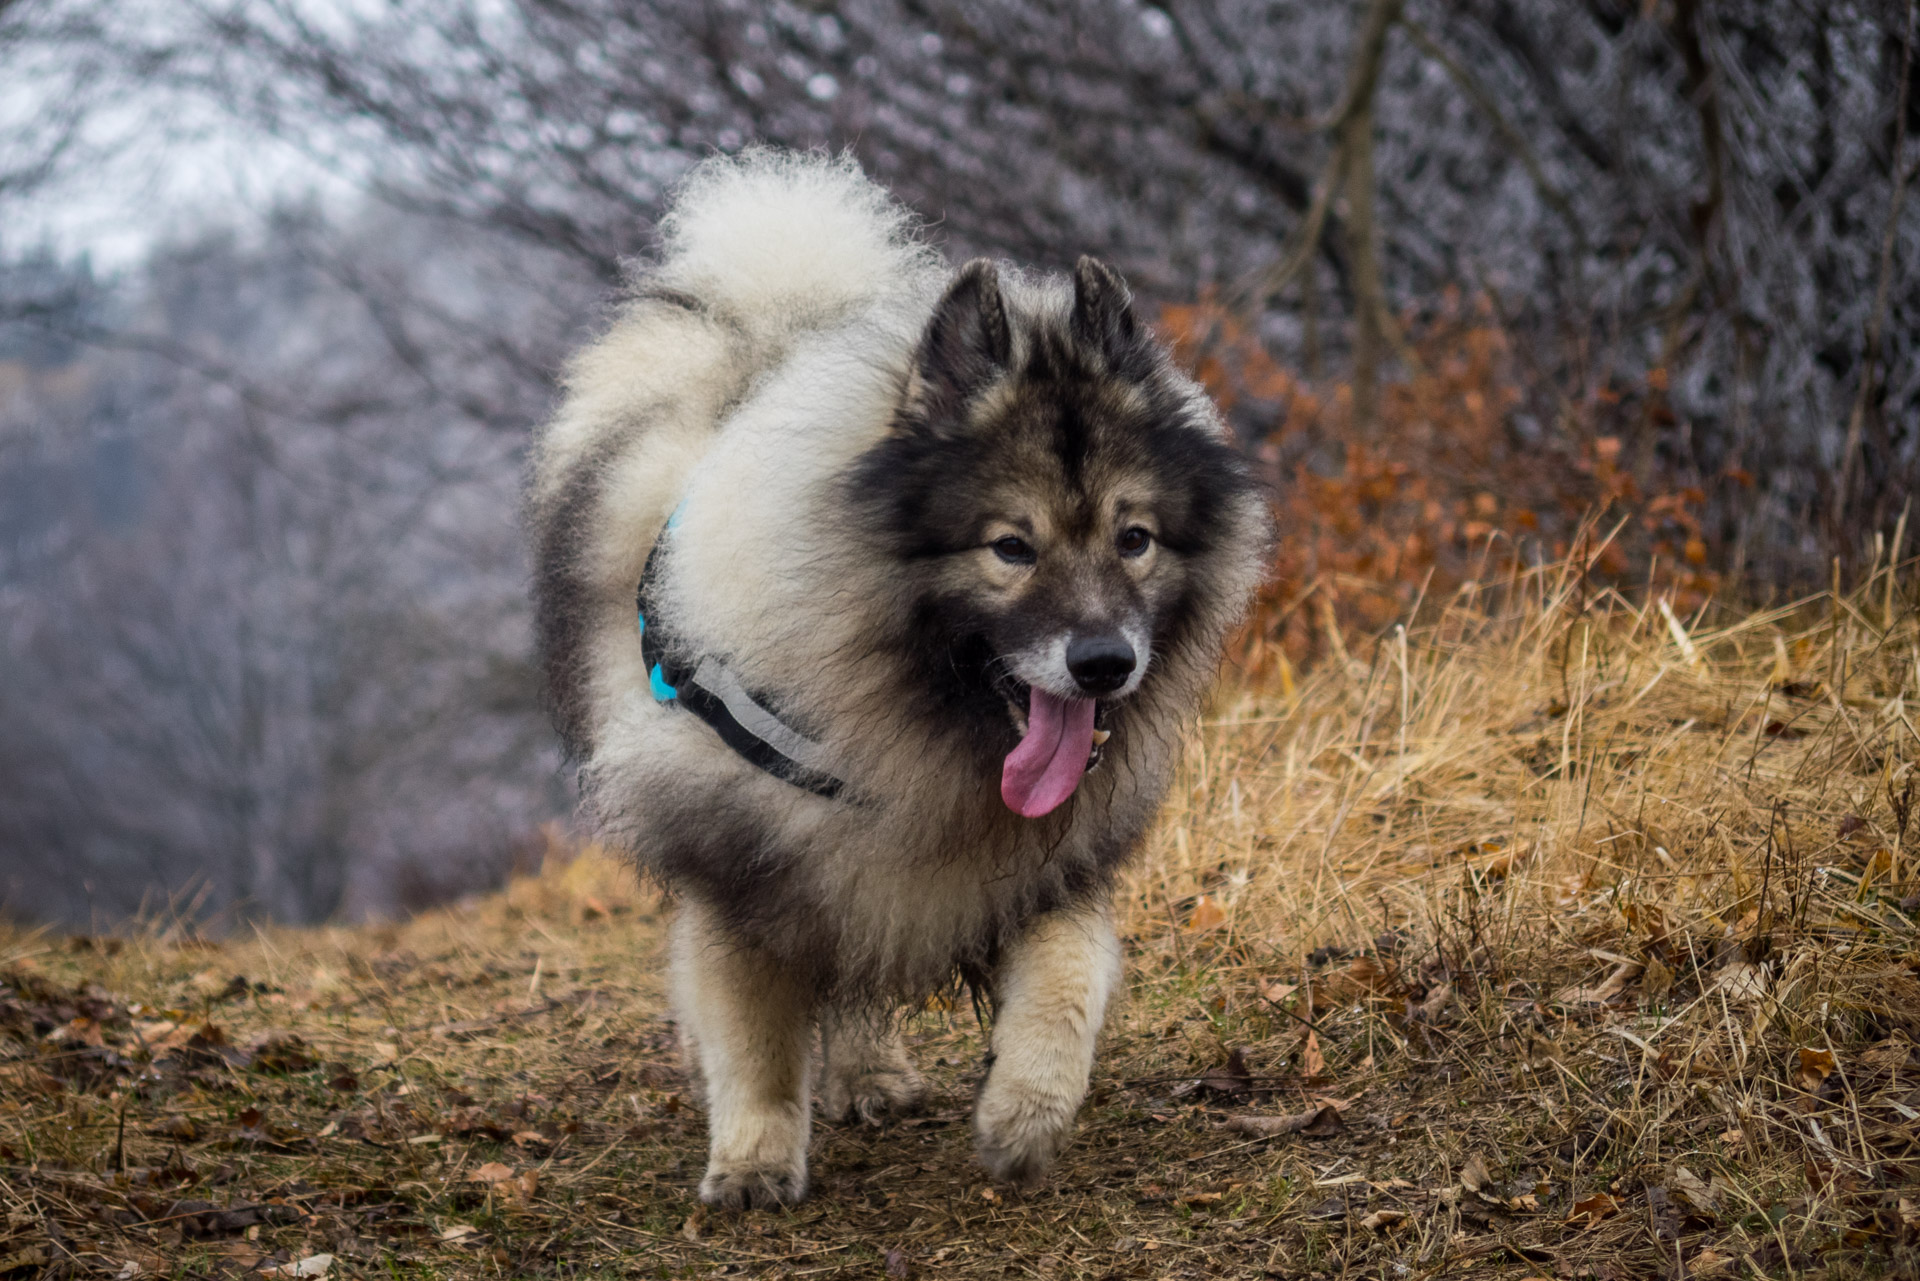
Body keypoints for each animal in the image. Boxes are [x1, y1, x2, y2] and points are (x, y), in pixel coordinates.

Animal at [533, 152, 1267, 1213]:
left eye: (1134, 538)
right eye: (1011, 547)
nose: (1103, 662)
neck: (924, 728)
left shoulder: (1048, 864)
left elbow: (1067, 982)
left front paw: (1024, 1114)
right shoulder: (742, 865)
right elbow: (753, 1029)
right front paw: (753, 1158)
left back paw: (870, 1072)